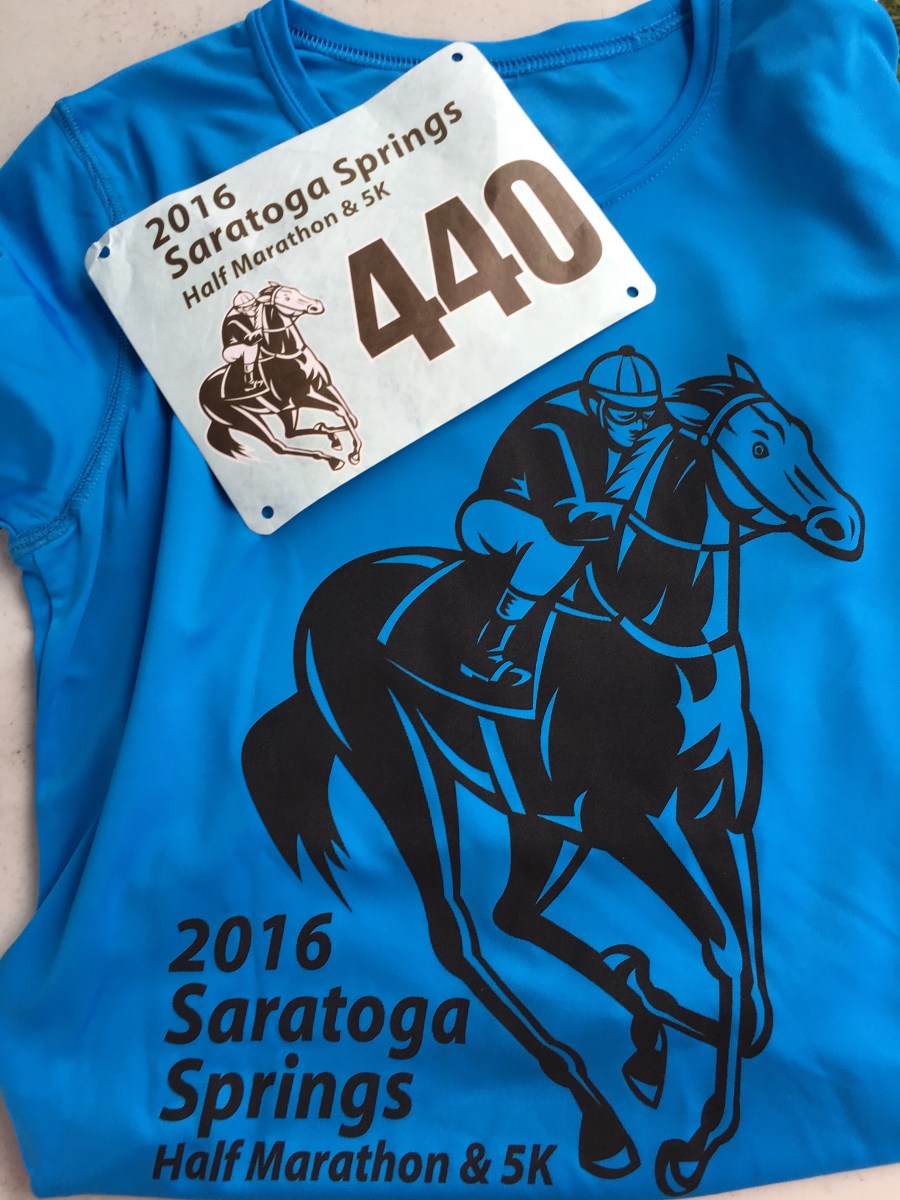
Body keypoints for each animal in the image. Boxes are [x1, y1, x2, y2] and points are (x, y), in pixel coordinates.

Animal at [199, 282, 362, 468]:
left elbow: (351, 417)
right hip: (243, 419)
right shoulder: (301, 397)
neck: (291, 356)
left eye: (296, 290)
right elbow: (339, 410)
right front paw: (354, 454)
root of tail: (202, 392)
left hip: (285, 410)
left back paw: (329, 435)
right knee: (278, 445)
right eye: (286, 298)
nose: (317, 305)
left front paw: (350, 446)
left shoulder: (324, 386)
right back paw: (332, 459)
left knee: (291, 432)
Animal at [242, 355, 863, 1195]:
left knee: (515, 913)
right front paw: (698, 1143)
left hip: (536, 814)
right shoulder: (623, 822)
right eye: (758, 448)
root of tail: (324, 598)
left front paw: (668, 1035)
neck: (665, 644)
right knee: (457, 935)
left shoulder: (718, 817)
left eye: (801, 432)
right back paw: (599, 1117)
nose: (845, 526)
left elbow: (755, 991)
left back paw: (640, 1029)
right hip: (400, 768)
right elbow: (724, 949)